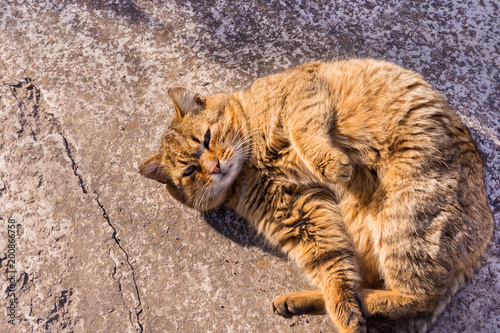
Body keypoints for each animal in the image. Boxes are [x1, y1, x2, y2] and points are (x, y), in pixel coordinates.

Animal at [139, 59, 494, 332]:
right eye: (189, 171)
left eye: (207, 138)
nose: (214, 167)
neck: (250, 164)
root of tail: (487, 229)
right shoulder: (299, 214)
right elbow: (331, 267)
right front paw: (343, 308)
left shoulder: (301, 97)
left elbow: (304, 136)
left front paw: (332, 165)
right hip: (374, 232)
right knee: (372, 286)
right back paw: (313, 301)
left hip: (402, 220)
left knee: (420, 298)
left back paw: (361, 303)